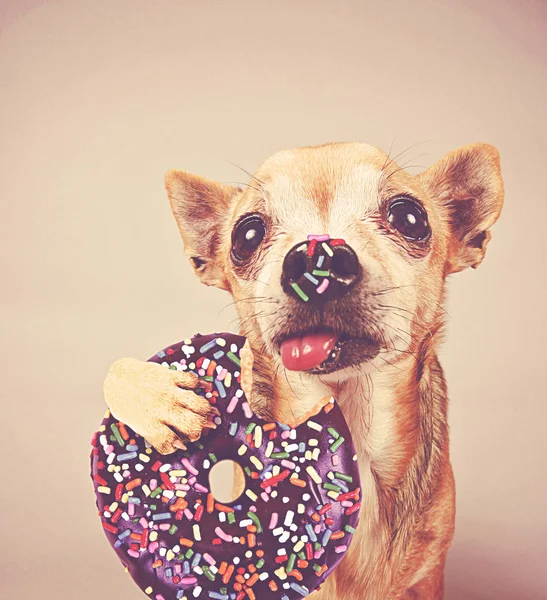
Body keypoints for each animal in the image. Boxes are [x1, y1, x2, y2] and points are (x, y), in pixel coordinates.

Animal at [103, 139, 506, 596]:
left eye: (409, 217)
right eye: (246, 235)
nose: (319, 258)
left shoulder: (427, 577)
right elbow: (115, 368)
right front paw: (163, 401)